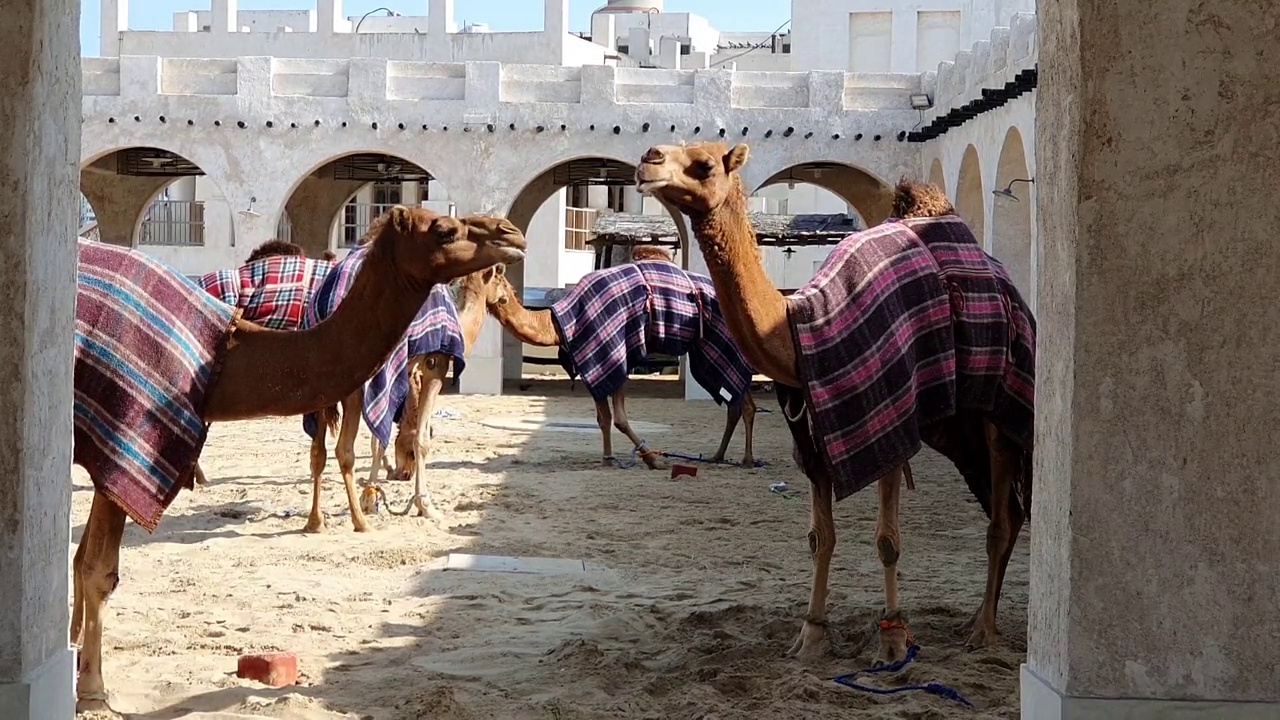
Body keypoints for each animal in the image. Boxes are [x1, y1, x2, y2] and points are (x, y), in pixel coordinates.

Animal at [305, 258, 509, 527]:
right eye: (500, 277)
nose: (507, 296)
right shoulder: (434, 365)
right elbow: (420, 438)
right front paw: (426, 505)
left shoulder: (405, 372)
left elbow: (378, 440)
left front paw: (371, 497)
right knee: (343, 449)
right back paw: (359, 522)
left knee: (318, 450)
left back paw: (315, 522)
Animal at [483, 257, 752, 466]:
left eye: (495, 281)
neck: (557, 324)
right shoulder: (594, 360)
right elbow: (603, 418)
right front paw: (608, 459)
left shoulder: (614, 353)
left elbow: (620, 419)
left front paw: (653, 460)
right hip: (706, 350)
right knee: (736, 400)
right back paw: (719, 456)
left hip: (720, 342)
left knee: (742, 399)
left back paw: (746, 459)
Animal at [634, 142, 1034, 666]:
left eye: (704, 164)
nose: (648, 160)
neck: (802, 325)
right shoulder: (814, 443)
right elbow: (819, 539)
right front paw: (811, 637)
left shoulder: (890, 422)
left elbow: (887, 541)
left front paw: (892, 642)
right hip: (956, 428)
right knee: (1005, 509)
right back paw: (974, 619)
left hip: (998, 413)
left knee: (1002, 519)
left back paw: (983, 631)